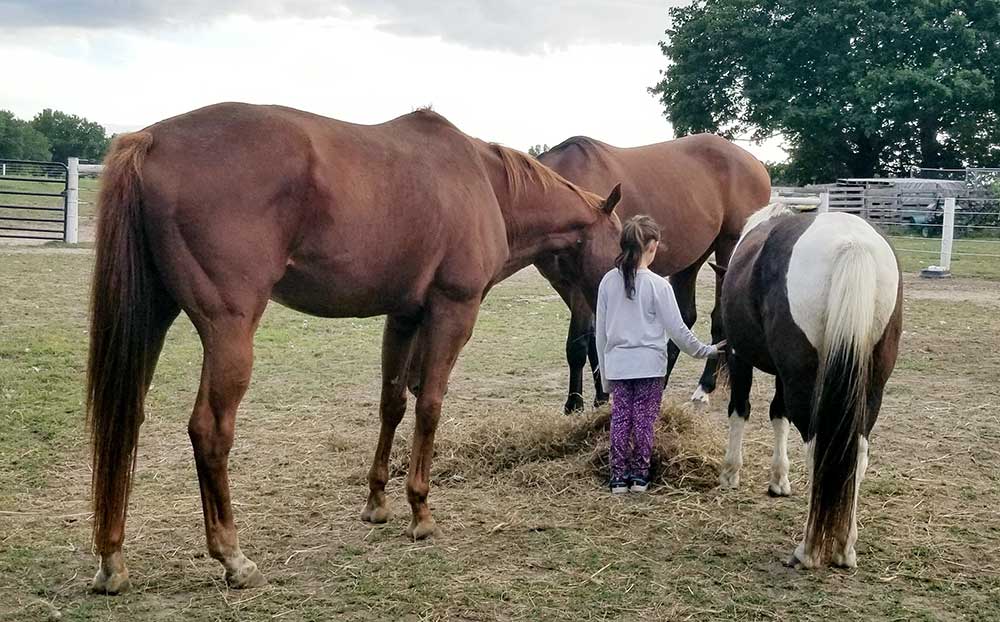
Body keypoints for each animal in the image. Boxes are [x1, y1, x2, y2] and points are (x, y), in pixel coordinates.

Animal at [90, 102, 628, 596]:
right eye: (623, 242)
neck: (486, 184)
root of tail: (149, 140)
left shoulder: (404, 316)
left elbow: (393, 403)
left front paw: (377, 502)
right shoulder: (452, 312)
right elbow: (430, 407)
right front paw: (420, 510)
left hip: (152, 320)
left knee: (125, 419)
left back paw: (112, 559)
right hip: (229, 333)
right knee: (209, 431)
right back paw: (233, 557)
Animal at [536, 135, 768, 414]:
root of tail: (755, 163)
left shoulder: (581, 287)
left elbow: (579, 344)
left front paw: (574, 405)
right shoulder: (567, 285)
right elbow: (595, 340)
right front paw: (601, 398)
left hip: (728, 246)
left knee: (718, 318)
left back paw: (704, 387)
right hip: (693, 257)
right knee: (685, 316)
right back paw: (661, 380)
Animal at [716, 204, 904, 572]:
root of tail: (852, 243)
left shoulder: (739, 356)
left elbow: (740, 411)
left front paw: (731, 473)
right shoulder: (782, 375)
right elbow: (778, 415)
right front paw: (778, 480)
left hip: (802, 380)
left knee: (819, 451)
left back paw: (809, 549)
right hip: (871, 387)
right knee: (857, 455)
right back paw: (844, 548)